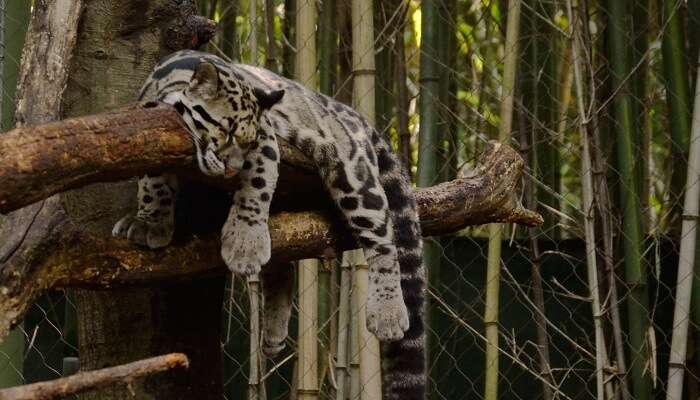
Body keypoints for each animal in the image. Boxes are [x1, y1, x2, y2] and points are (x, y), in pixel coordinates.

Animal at [113, 49, 426, 396]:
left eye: (248, 142)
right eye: (228, 131)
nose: (232, 170)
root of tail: (349, 112)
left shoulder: (266, 138)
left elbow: (257, 184)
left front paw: (244, 243)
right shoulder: (151, 133)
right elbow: (152, 178)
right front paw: (150, 221)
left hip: (352, 172)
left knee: (383, 240)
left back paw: (388, 313)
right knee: (285, 258)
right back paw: (273, 333)